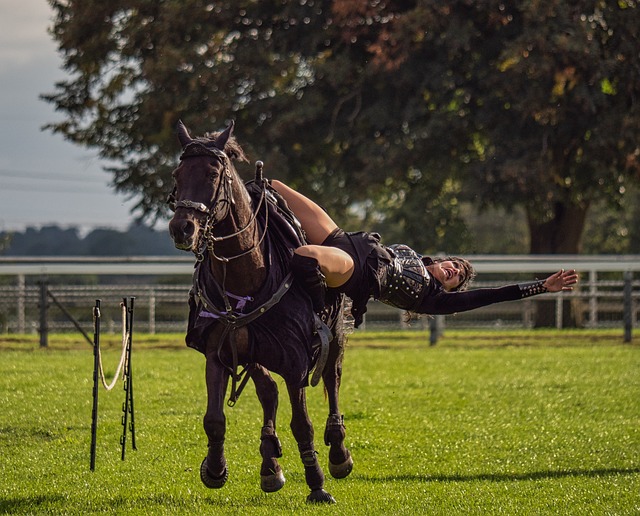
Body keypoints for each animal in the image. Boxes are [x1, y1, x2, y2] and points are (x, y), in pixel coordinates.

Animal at [168, 119, 352, 502]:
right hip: (253, 351)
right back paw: (270, 464)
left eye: (212, 174)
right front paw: (215, 468)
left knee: (333, 378)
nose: (182, 228)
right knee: (268, 391)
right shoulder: (219, 352)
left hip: (335, 336)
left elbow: (303, 424)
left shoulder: (296, 362)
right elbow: (215, 419)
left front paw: (317, 484)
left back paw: (338, 452)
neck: (247, 275)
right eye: (177, 174)